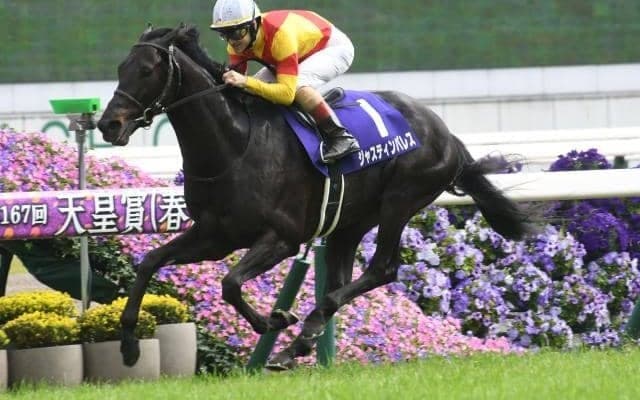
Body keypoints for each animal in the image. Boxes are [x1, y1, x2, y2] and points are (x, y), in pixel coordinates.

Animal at [97, 25, 535, 370]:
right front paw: (129, 345)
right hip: (350, 221)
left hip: (401, 200)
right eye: (119, 68)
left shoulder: (282, 238)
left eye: (147, 70)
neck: (234, 146)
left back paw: (301, 331)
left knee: (382, 269)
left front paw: (273, 321)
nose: (108, 124)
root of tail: (445, 132)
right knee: (341, 279)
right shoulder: (215, 236)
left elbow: (231, 283)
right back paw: (299, 344)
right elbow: (150, 263)